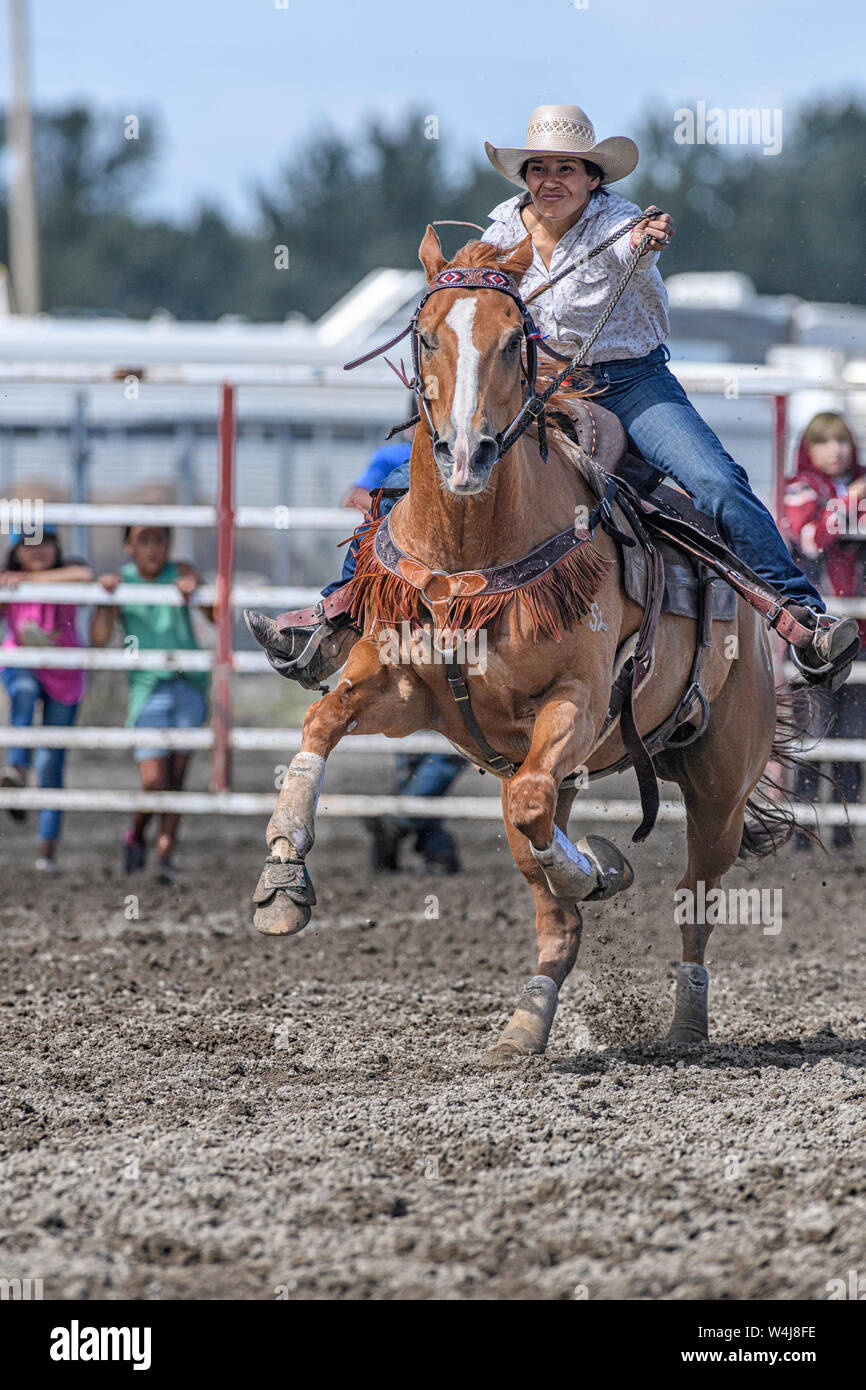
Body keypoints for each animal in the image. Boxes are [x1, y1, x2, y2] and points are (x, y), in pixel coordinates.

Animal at [252, 227, 783, 1056]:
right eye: (426, 335)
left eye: (512, 341)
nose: (466, 454)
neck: (471, 554)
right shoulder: (403, 691)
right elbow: (322, 721)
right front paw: (282, 877)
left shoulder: (579, 701)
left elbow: (530, 805)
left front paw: (595, 869)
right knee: (553, 903)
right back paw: (529, 1019)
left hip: (720, 786)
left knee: (692, 900)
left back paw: (683, 1020)